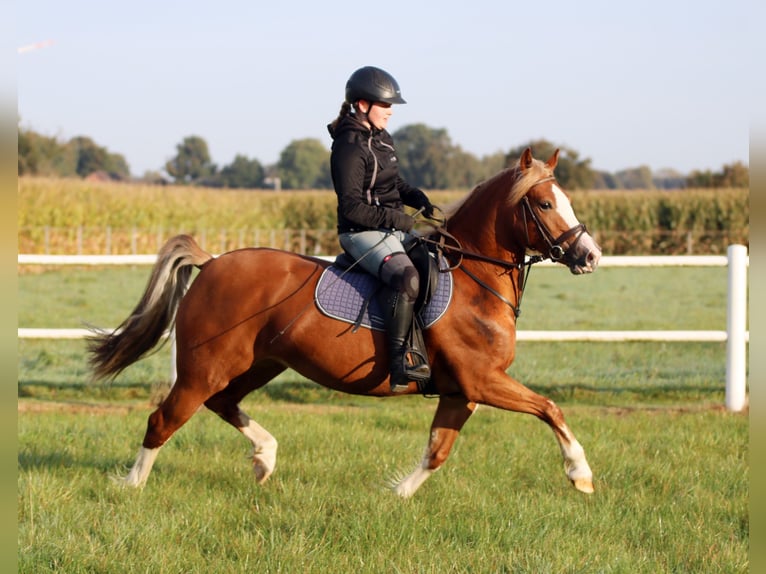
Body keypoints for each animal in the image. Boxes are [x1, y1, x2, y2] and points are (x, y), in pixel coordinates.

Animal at [90, 148, 604, 500]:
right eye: (543, 205)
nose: (590, 256)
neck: (472, 283)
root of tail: (213, 262)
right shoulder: (483, 380)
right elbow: (550, 408)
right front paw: (580, 474)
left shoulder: (463, 391)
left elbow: (437, 451)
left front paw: (396, 496)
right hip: (205, 367)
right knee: (165, 419)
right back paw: (131, 486)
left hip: (258, 364)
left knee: (223, 403)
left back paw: (265, 458)